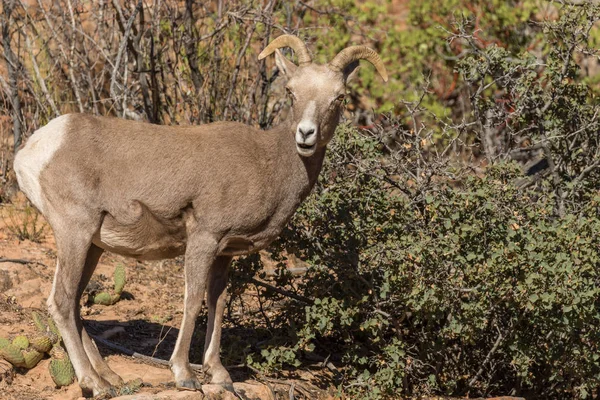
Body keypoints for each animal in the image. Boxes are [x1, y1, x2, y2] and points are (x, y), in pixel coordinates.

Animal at [14, 35, 390, 396]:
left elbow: (217, 302)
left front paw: (220, 375)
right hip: (75, 232)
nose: (306, 135)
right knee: (62, 301)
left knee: (76, 303)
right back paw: (93, 384)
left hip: (92, 245)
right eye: (291, 91)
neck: (268, 163)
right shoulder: (203, 239)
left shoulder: (225, 252)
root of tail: (35, 149)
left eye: (338, 98)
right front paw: (184, 375)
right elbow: (193, 299)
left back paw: (110, 379)